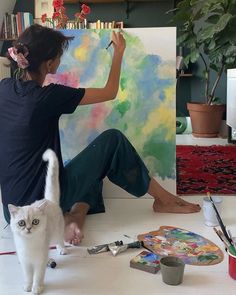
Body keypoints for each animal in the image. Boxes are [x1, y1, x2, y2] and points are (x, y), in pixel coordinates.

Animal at [8, 149, 67, 294]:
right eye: (21, 223)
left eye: (35, 222)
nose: (28, 228)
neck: (29, 244)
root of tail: (49, 200)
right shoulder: (26, 263)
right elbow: (28, 276)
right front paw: (27, 286)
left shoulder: (39, 261)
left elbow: (38, 276)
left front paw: (37, 288)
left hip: (57, 231)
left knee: (60, 239)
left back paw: (62, 249)